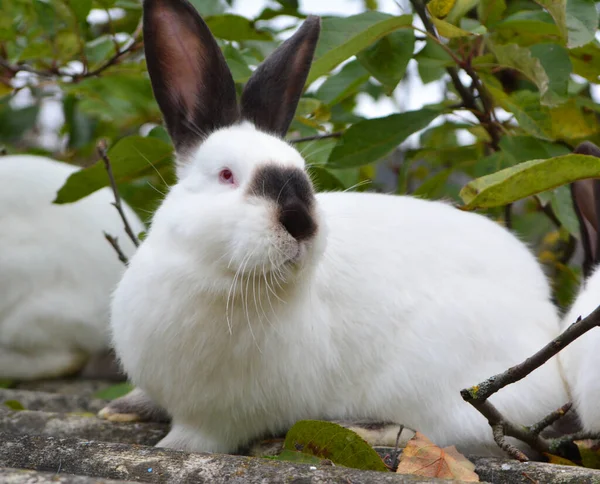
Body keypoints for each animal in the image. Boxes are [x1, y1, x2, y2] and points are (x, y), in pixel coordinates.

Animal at [109, 0, 572, 458]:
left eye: (303, 173)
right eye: (226, 175)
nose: (300, 221)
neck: (217, 277)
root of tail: (547, 323)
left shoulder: (224, 416)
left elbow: (199, 439)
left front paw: (169, 444)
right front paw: (126, 407)